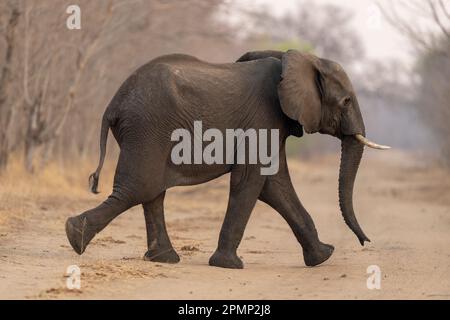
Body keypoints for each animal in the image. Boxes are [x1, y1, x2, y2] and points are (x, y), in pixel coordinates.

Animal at [65, 48, 388, 268]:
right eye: (346, 101)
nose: (365, 242)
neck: (298, 59)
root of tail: (112, 104)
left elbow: (274, 186)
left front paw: (323, 256)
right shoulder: (263, 117)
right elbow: (252, 181)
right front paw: (228, 265)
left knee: (151, 192)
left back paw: (164, 259)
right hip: (146, 128)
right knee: (139, 187)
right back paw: (74, 235)